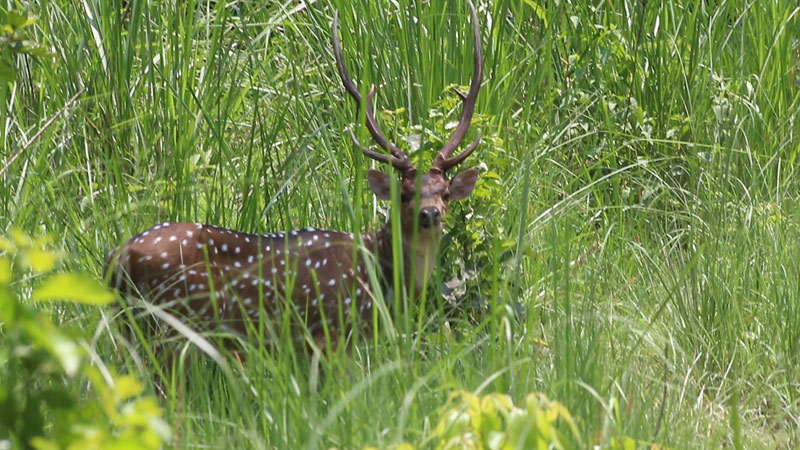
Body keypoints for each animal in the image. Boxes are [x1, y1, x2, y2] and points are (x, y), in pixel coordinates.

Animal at [104, 0, 482, 350]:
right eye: (404, 194)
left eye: (445, 192)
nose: (429, 214)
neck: (380, 281)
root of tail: (115, 258)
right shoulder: (330, 330)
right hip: (170, 320)